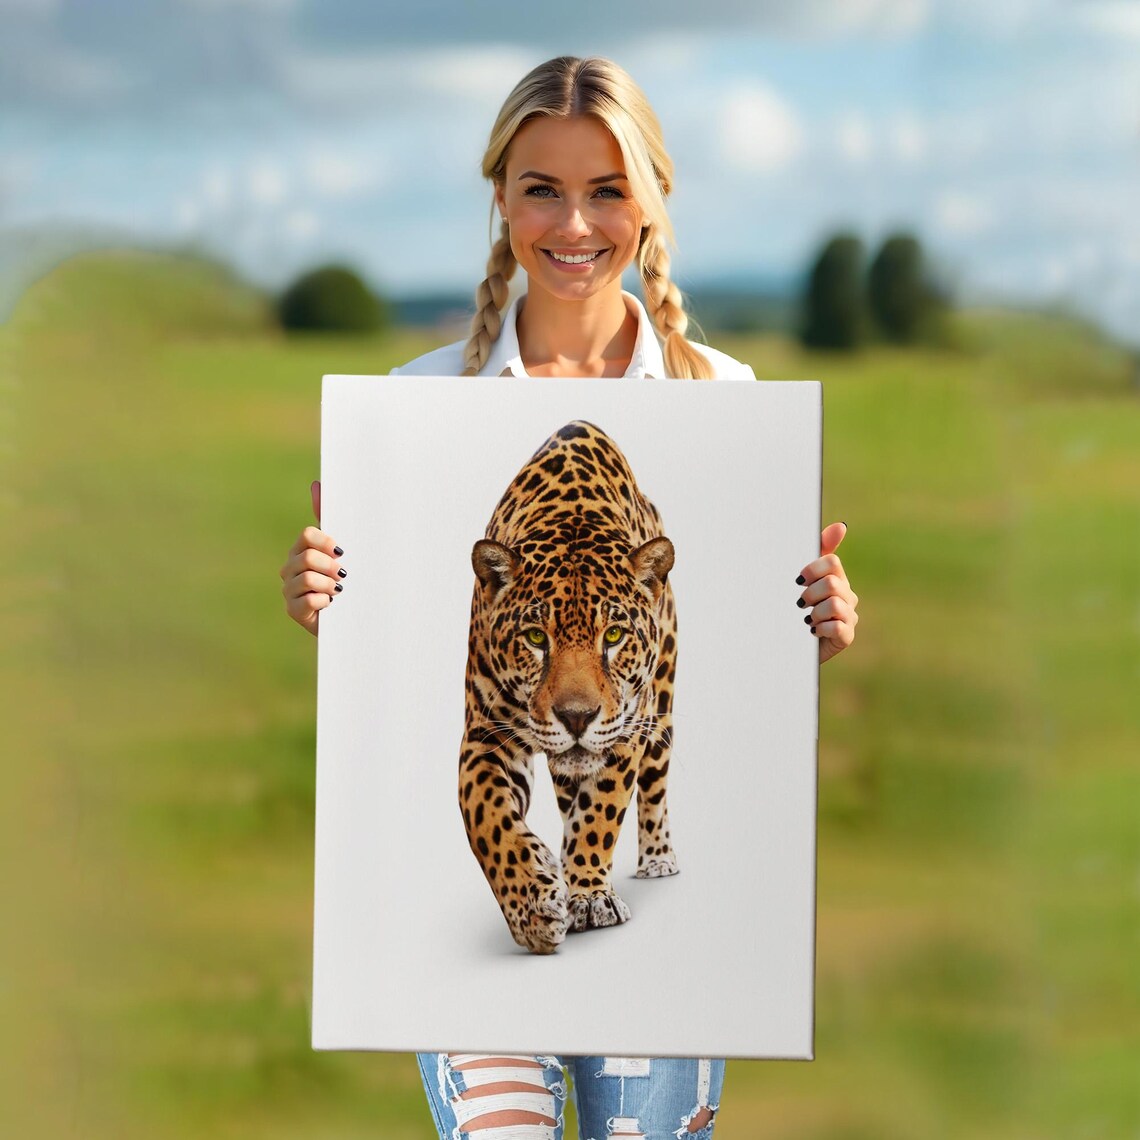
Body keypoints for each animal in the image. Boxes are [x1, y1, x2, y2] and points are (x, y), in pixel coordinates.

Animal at [460, 420, 680, 955]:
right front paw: (533, 908)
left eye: (614, 636)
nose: (576, 717)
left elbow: (601, 812)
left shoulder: (625, 730)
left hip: (661, 709)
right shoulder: (484, 734)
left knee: (654, 786)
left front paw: (589, 898)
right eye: (537, 638)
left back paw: (657, 858)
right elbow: (487, 818)